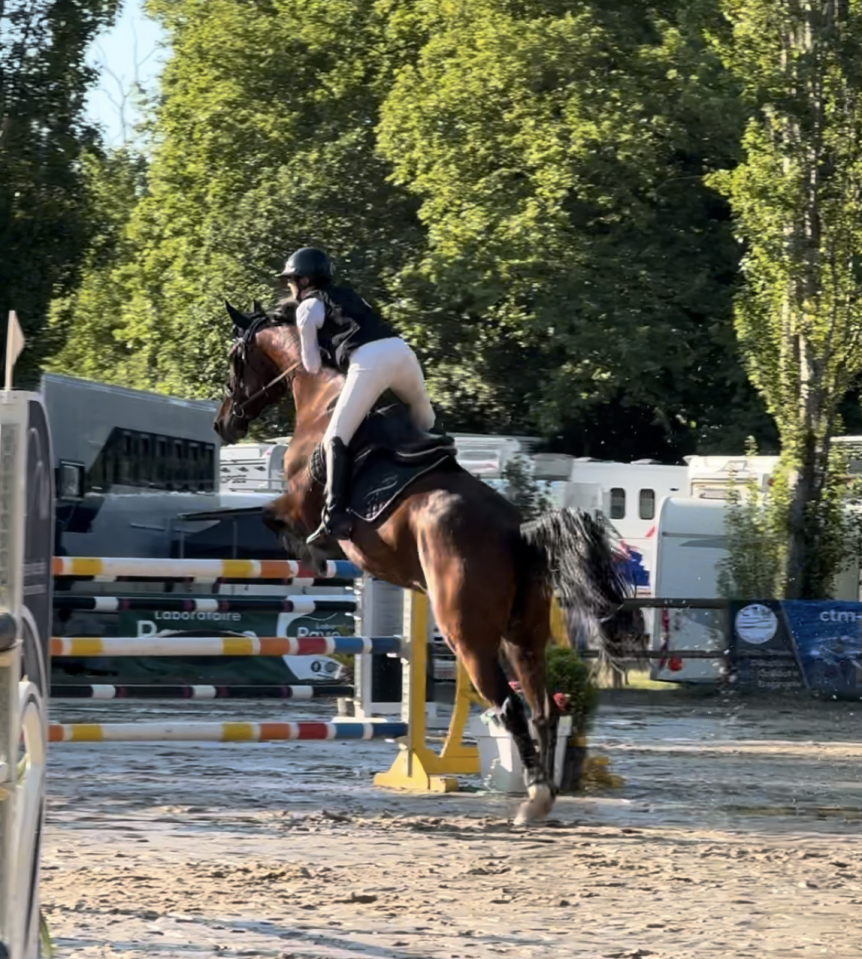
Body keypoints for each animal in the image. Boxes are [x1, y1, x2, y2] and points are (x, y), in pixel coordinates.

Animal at [213, 300, 630, 824]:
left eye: (235, 359)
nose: (223, 424)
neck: (320, 395)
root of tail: (517, 531)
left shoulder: (296, 502)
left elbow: (272, 518)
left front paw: (316, 552)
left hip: (467, 638)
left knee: (510, 707)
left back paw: (533, 799)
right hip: (523, 636)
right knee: (542, 708)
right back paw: (543, 795)